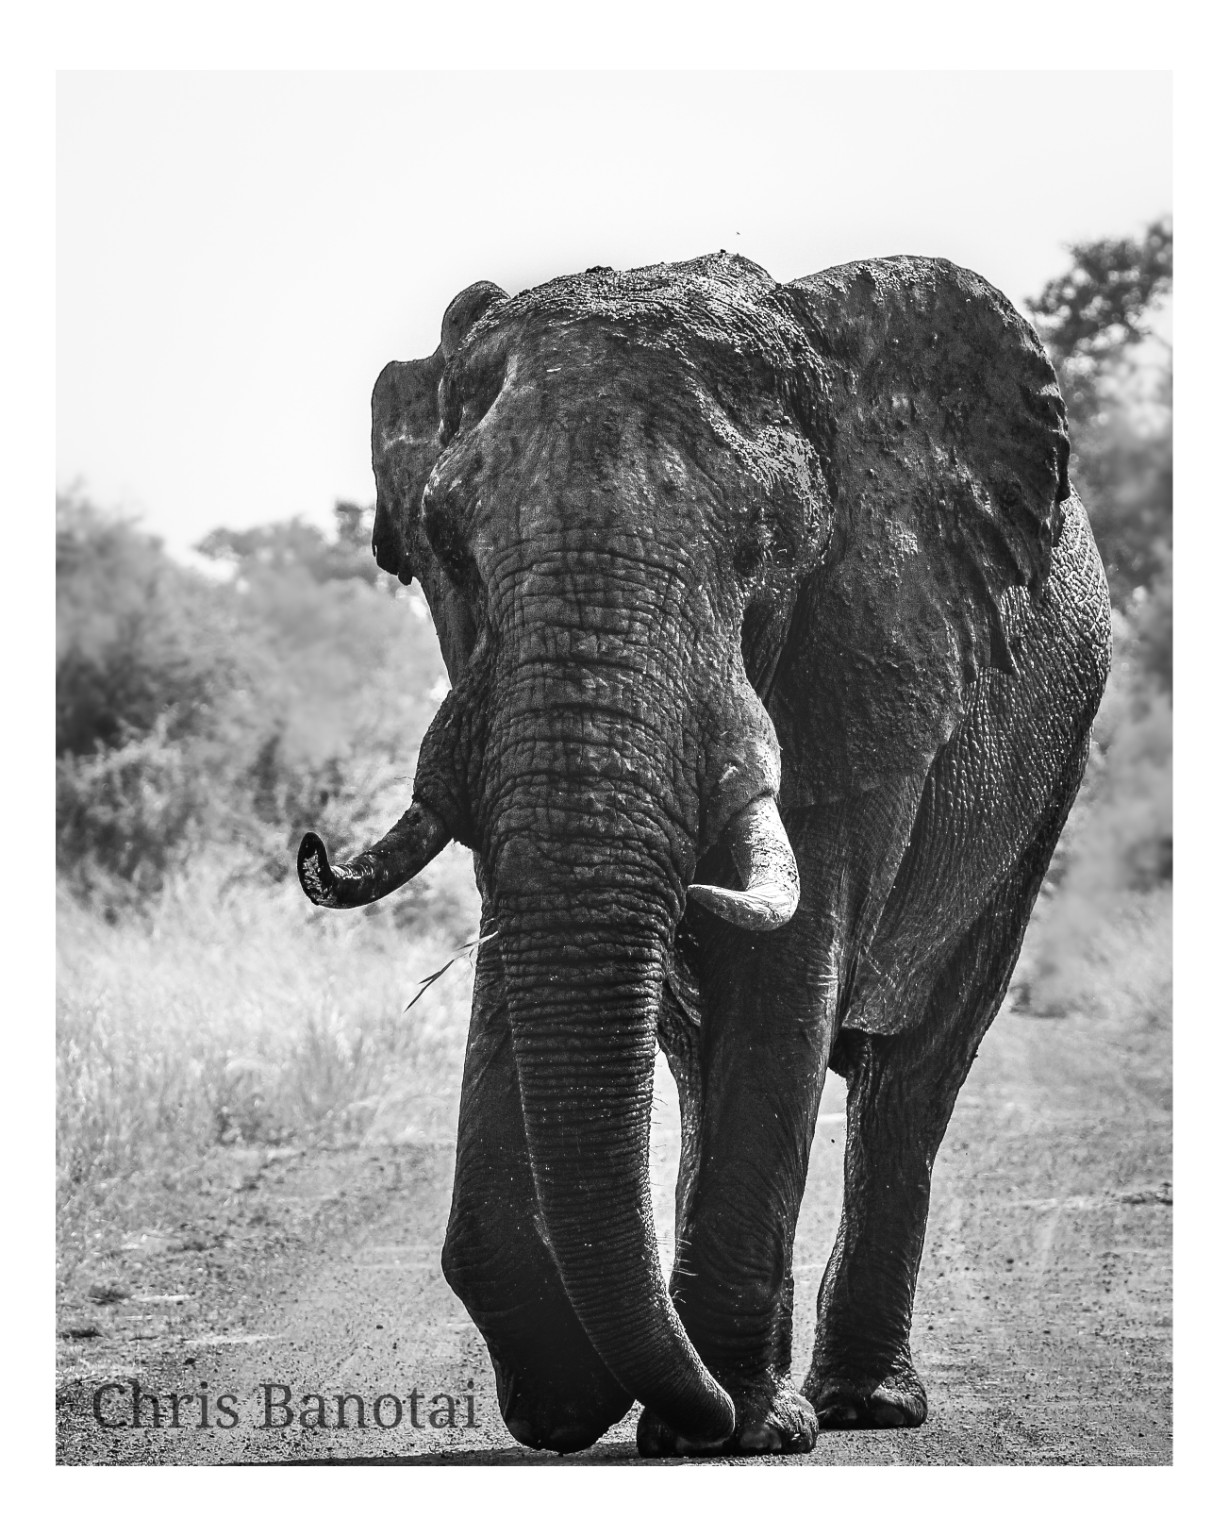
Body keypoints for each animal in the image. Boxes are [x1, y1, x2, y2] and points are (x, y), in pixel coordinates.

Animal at [296, 251, 1111, 1457]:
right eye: (447, 549)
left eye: (757, 558)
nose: (313, 846)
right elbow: (526, 938)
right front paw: (583, 1399)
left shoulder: (866, 652)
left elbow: (789, 961)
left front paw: (728, 1428)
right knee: (693, 1050)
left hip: (1047, 781)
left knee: (916, 1074)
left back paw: (857, 1406)